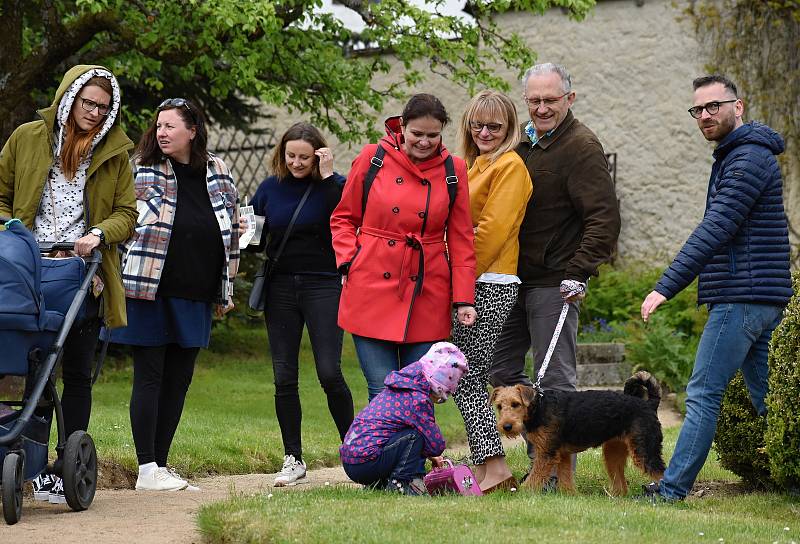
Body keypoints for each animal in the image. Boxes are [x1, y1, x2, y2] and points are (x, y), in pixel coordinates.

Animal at [490, 372, 664, 496]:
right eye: (499, 406)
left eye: (516, 404)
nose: (506, 426)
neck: (539, 407)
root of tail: (649, 404)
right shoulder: (562, 454)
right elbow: (566, 479)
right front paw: (570, 496)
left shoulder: (547, 454)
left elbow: (534, 478)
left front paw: (522, 495)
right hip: (613, 453)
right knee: (621, 483)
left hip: (644, 451)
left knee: (661, 473)